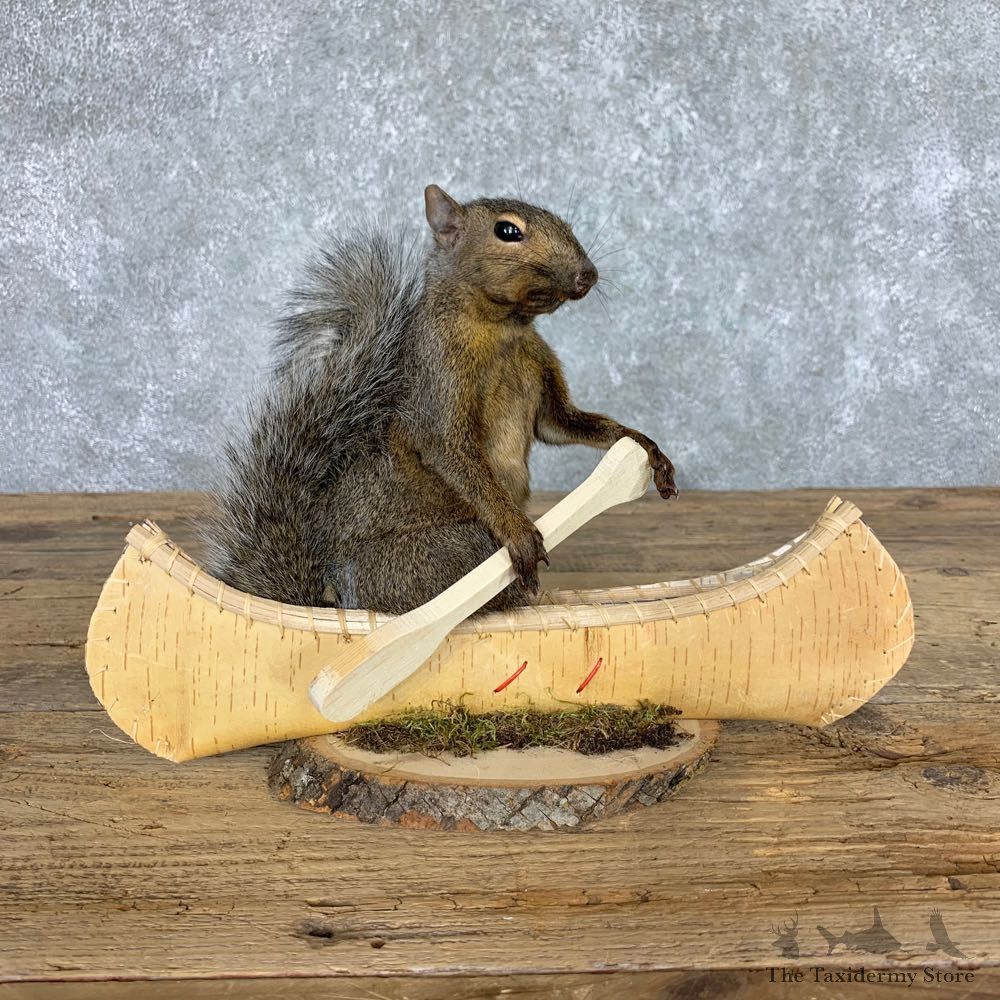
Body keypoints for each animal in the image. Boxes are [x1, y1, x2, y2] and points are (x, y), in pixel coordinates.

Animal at [199, 184, 677, 615]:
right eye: (507, 230)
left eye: (567, 224)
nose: (587, 274)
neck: (505, 328)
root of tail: (341, 599)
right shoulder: (438, 378)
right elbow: (452, 451)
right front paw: (518, 531)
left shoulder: (543, 384)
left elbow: (563, 424)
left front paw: (645, 447)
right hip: (451, 551)